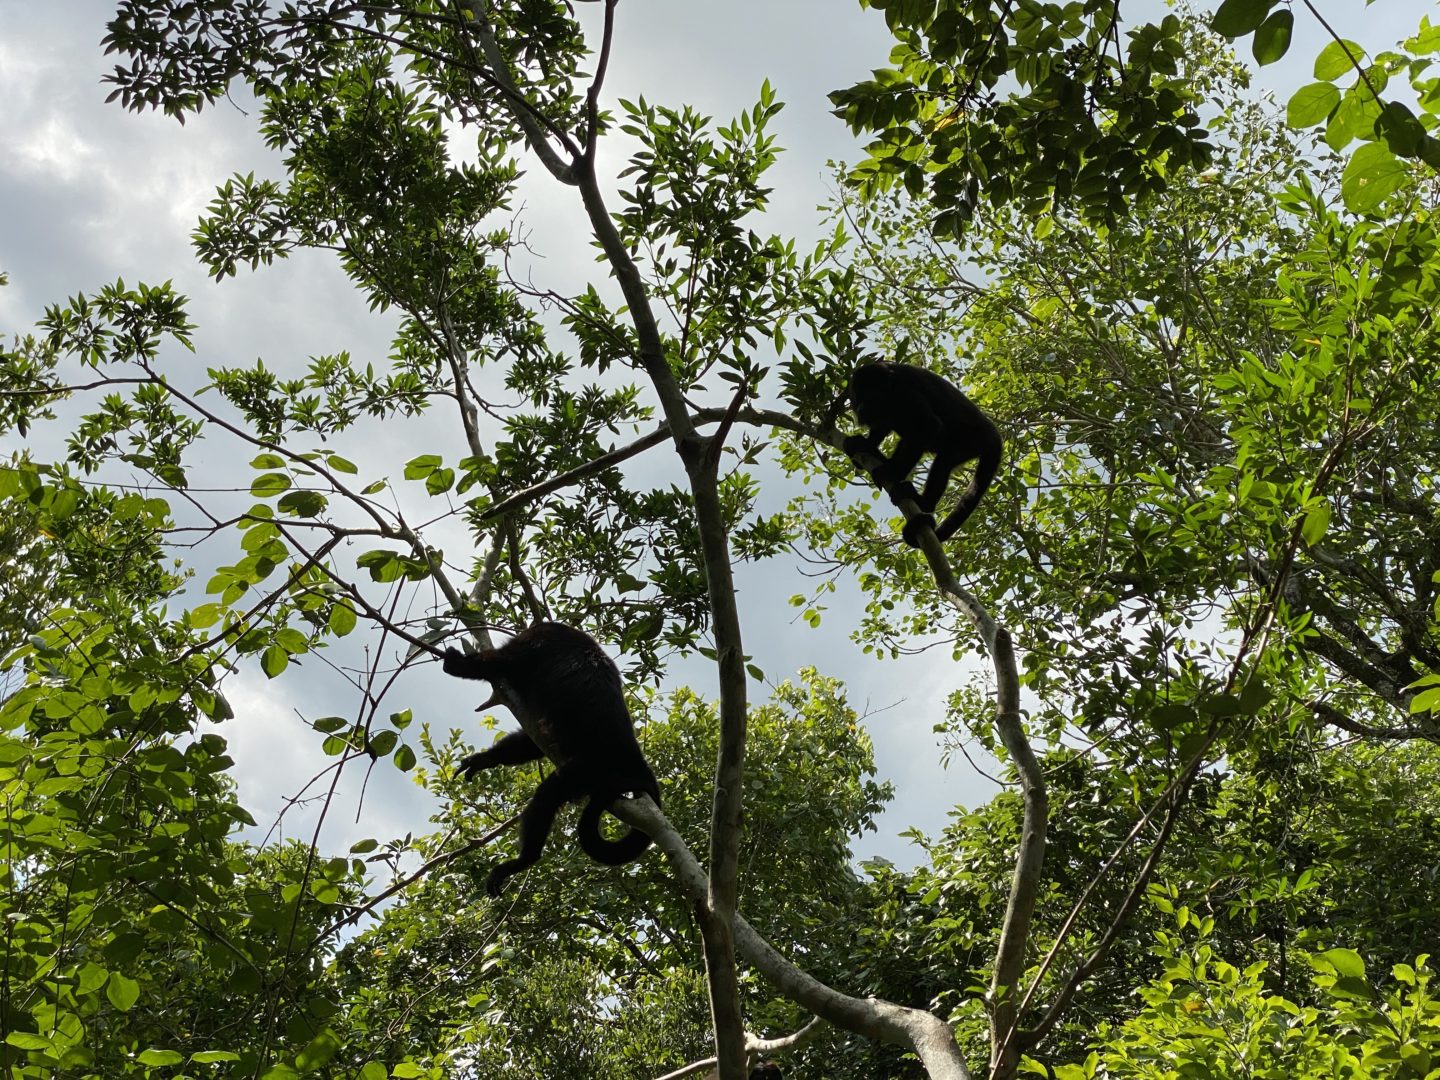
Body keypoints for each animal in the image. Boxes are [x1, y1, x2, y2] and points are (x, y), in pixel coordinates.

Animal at [440, 622, 659, 898]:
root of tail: (634, 756)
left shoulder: (538, 638)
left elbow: (498, 662)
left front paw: (455, 663)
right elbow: (534, 738)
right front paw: (484, 760)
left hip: (588, 770)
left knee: (546, 796)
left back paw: (523, 860)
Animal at [840, 361, 1002, 550]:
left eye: (871, 394)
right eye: (859, 395)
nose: (861, 409)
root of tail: (993, 433)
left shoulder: (906, 392)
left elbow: (929, 426)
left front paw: (892, 473)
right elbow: (883, 425)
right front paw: (867, 444)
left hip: (969, 441)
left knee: (943, 461)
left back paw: (921, 500)